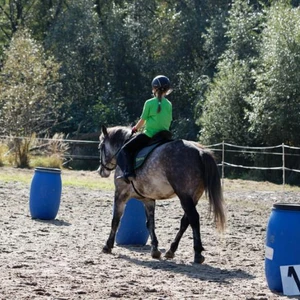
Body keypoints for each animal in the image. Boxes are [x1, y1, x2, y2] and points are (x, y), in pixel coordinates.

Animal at [98, 124, 225, 262]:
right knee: (185, 221)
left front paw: (107, 246)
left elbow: (115, 220)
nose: (101, 171)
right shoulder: (148, 199)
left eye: (100, 147)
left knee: (194, 218)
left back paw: (197, 253)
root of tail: (200, 152)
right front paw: (155, 250)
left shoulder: (120, 194)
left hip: (184, 196)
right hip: (194, 197)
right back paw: (171, 250)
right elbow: (150, 223)